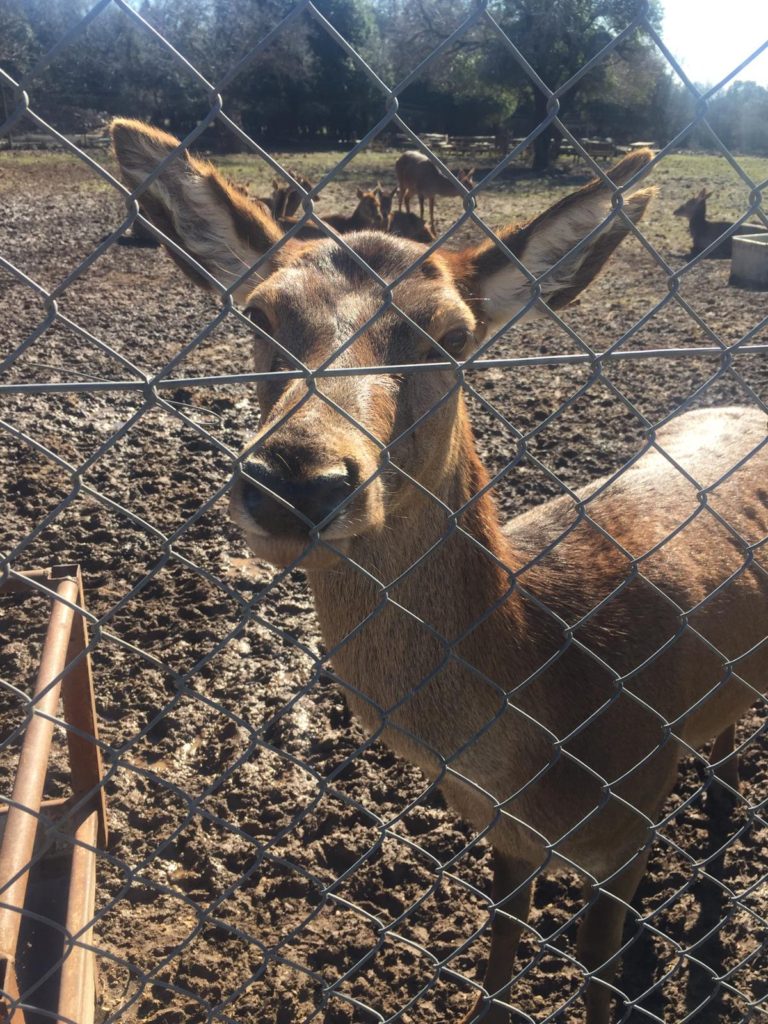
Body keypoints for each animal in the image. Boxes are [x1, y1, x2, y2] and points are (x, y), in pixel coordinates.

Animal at [109, 117, 768, 1024]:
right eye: (260, 313)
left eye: (452, 337)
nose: (297, 479)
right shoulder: (506, 835)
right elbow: (498, 952)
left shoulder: (632, 820)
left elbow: (597, 969)